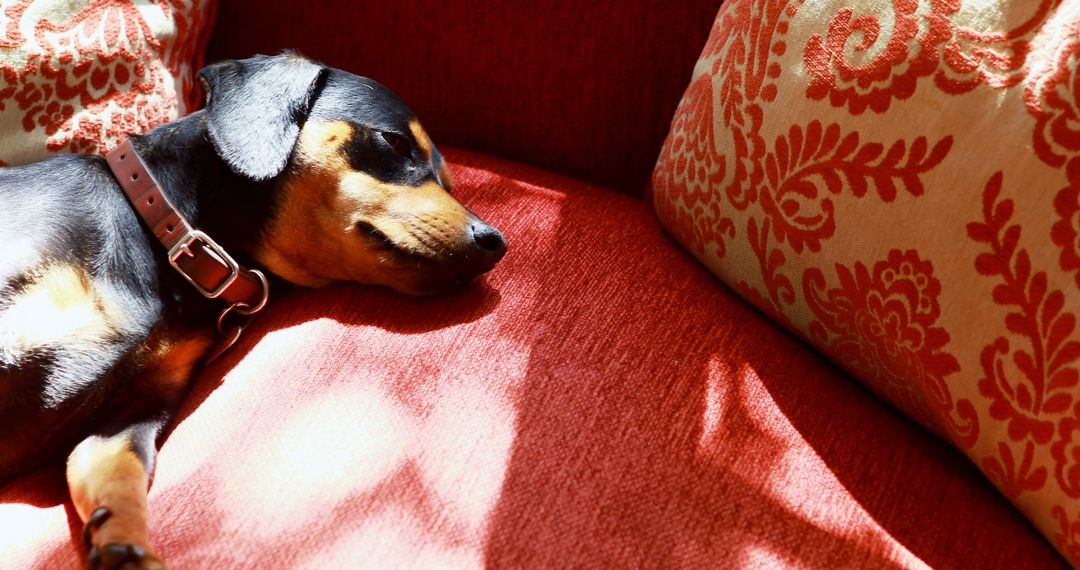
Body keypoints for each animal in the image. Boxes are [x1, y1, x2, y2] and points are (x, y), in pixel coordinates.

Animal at [0, 51, 505, 565]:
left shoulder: (122, 426)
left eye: (449, 181)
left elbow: (121, 493)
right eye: (395, 142)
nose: (496, 242)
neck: (161, 237)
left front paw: (129, 553)